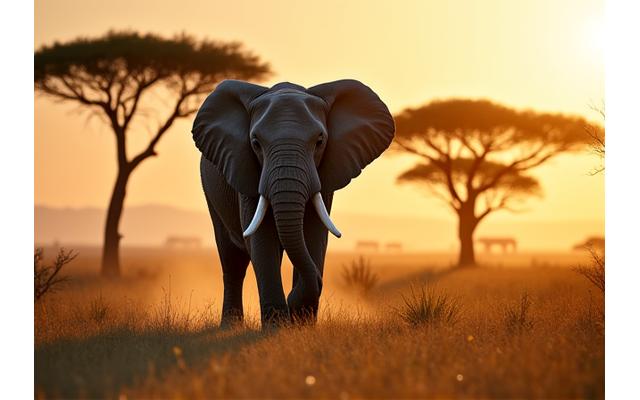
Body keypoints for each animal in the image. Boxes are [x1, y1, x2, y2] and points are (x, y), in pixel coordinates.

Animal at [192, 79, 395, 326]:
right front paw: (276, 328)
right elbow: (261, 239)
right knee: (233, 260)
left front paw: (301, 323)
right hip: (211, 191)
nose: (292, 303)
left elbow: (314, 234)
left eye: (319, 141)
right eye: (255, 143)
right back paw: (230, 326)